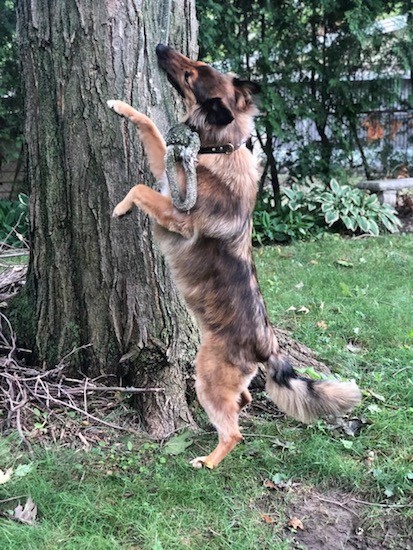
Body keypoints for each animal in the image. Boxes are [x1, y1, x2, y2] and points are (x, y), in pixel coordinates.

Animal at [107, 45, 360, 472]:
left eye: (193, 73)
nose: (160, 48)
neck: (220, 148)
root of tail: (268, 345)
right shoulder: (168, 174)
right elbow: (151, 128)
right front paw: (121, 106)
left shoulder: (178, 215)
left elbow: (139, 188)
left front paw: (121, 208)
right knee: (245, 399)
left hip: (207, 375)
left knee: (234, 431)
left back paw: (208, 461)